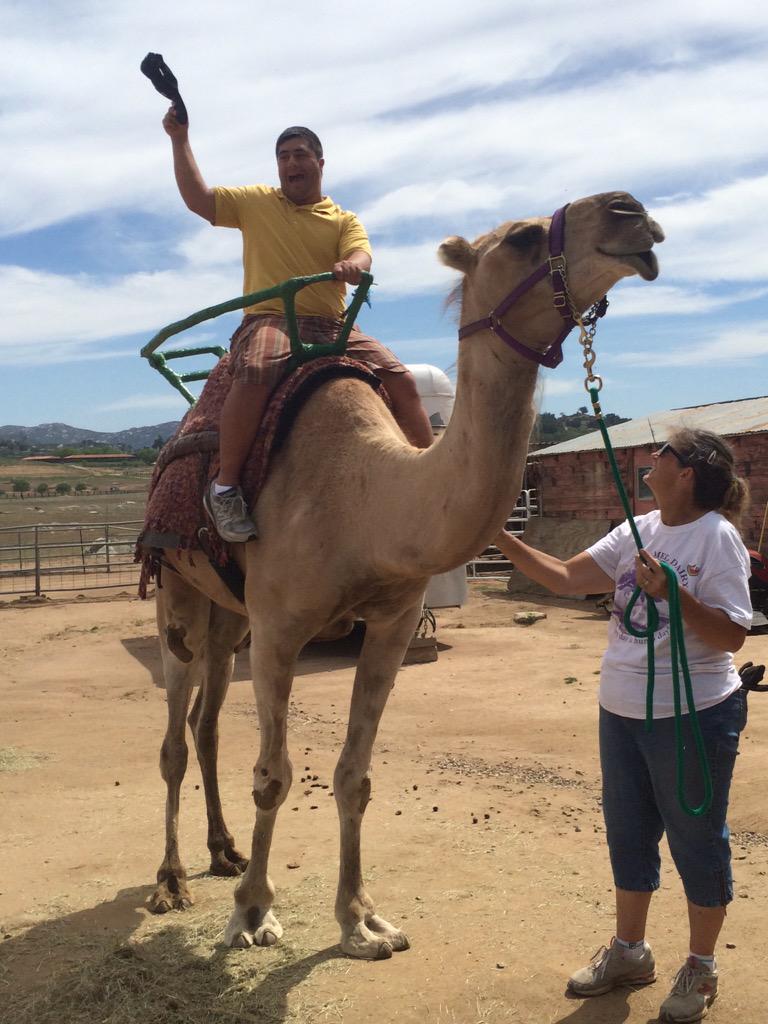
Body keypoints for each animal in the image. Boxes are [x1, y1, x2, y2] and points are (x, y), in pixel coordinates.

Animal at [148, 191, 663, 959]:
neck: (366, 498)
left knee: (207, 725)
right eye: (522, 237)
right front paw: (252, 915)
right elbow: (274, 777)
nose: (633, 213)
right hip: (178, 594)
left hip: (227, 615)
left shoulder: (388, 625)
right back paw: (172, 881)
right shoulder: (279, 629)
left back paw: (223, 852)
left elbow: (353, 775)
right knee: (176, 741)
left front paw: (361, 919)